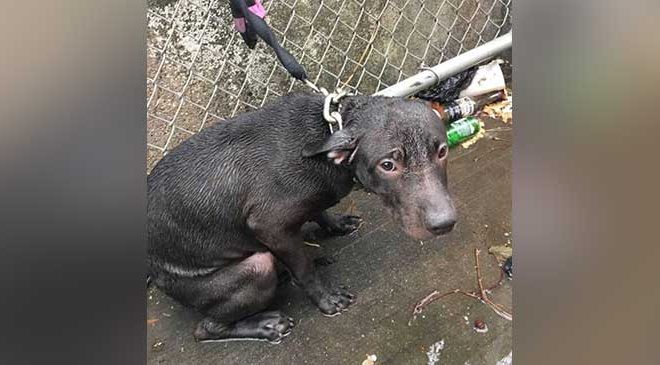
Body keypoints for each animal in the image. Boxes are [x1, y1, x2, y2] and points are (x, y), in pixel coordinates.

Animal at [148, 92, 458, 342]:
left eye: (442, 151)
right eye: (388, 165)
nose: (444, 223)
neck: (330, 132)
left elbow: (318, 213)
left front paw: (336, 224)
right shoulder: (270, 225)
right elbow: (305, 268)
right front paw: (327, 300)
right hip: (254, 269)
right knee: (205, 329)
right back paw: (266, 325)